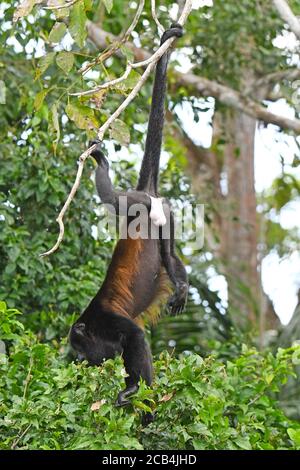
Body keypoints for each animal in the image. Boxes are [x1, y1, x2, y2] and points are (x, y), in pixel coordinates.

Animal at [69, 23, 188, 408]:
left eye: (79, 351)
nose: (79, 363)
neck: (91, 323)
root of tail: (146, 192)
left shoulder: (110, 322)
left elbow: (135, 338)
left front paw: (137, 392)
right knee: (168, 254)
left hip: (145, 205)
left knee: (117, 201)